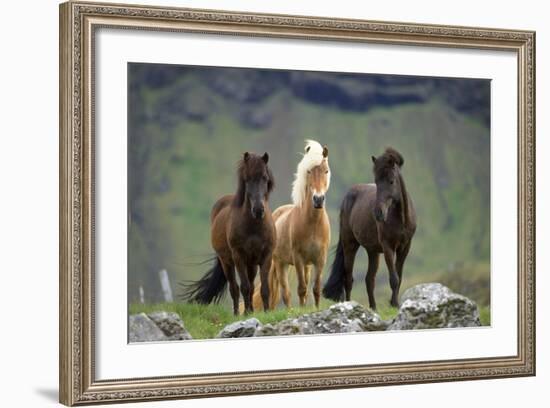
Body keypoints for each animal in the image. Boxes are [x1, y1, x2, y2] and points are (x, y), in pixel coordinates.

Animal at [180, 151, 276, 314]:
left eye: (265, 177)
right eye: (247, 179)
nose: (258, 210)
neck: (254, 227)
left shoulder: (266, 257)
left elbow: (264, 288)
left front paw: (266, 312)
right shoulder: (239, 257)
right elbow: (243, 287)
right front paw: (245, 314)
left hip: (251, 264)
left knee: (250, 286)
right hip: (227, 263)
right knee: (235, 288)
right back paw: (238, 313)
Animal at [254, 141, 332, 310]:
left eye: (326, 171)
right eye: (309, 171)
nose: (318, 199)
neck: (313, 224)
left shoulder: (320, 259)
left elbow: (316, 289)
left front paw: (316, 310)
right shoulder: (298, 259)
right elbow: (301, 289)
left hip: (307, 266)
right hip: (280, 263)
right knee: (286, 293)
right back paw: (289, 311)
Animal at [322, 147, 416, 310]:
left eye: (391, 181)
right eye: (376, 182)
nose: (378, 213)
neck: (401, 219)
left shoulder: (405, 248)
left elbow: (399, 276)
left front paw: (395, 303)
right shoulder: (388, 247)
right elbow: (394, 279)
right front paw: (394, 304)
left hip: (373, 252)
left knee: (369, 279)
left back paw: (373, 307)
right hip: (350, 245)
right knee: (348, 279)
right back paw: (349, 304)